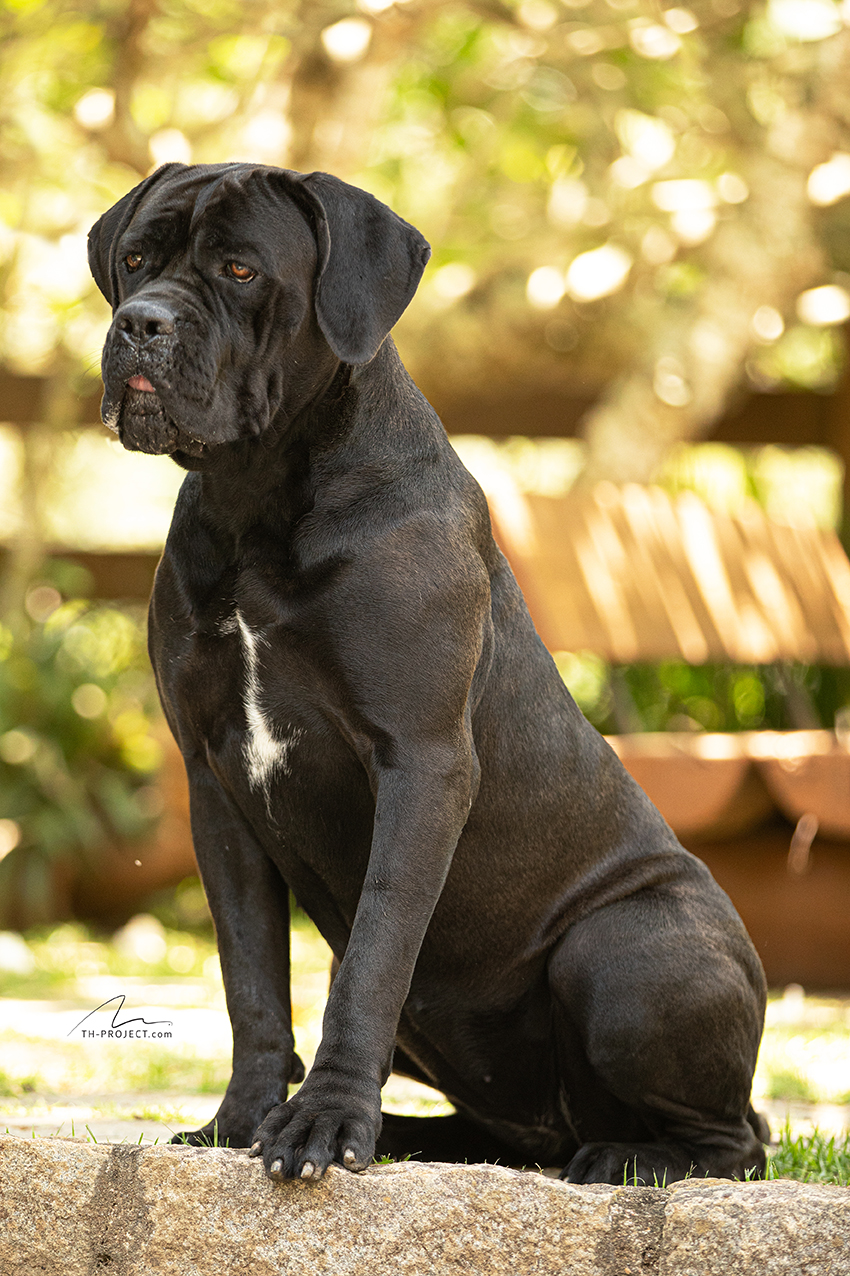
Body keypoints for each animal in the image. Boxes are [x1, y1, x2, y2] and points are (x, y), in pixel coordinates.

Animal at [88, 162, 768, 1185]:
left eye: (241, 269)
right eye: (135, 260)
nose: (142, 321)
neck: (258, 497)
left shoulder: (419, 763)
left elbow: (374, 957)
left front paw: (323, 1124)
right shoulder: (217, 786)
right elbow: (252, 978)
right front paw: (241, 1121)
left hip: (626, 950)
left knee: (734, 1140)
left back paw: (622, 1156)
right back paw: (421, 1138)